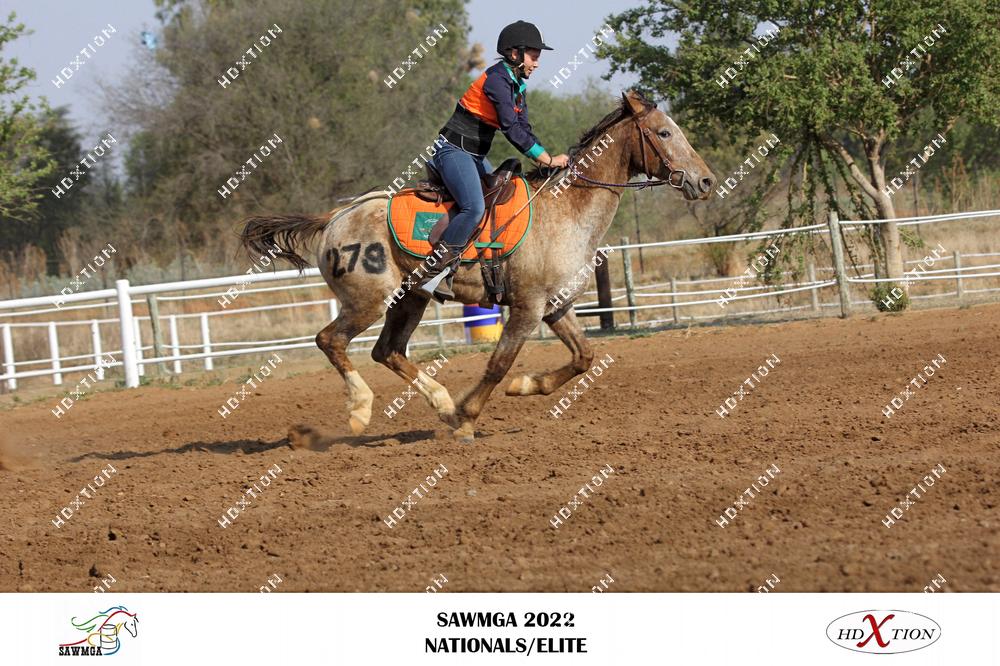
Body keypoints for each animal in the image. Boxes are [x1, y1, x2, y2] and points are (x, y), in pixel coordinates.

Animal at [239, 90, 715, 442]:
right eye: (664, 132)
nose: (706, 181)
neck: (567, 209)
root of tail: (336, 217)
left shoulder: (555, 307)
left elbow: (584, 357)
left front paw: (526, 387)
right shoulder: (526, 308)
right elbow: (498, 364)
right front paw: (470, 417)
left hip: (410, 299)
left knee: (387, 351)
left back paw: (442, 404)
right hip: (367, 301)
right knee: (331, 341)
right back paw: (362, 409)